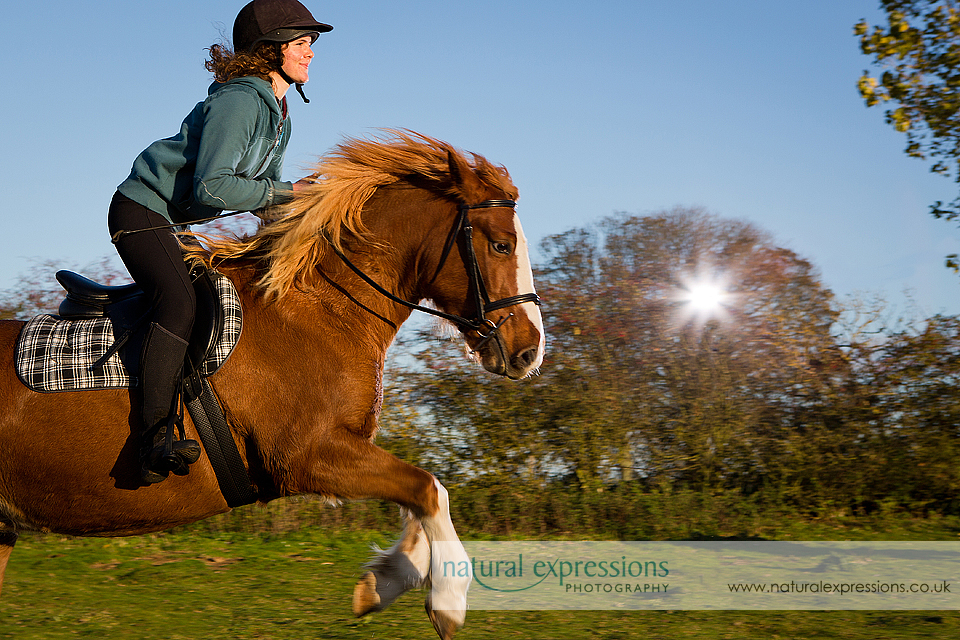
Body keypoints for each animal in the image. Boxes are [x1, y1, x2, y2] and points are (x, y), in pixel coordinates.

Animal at [0, 131, 544, 640]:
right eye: (501, 244)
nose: (530, 350)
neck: (318, 311)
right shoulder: (305, 456)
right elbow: (429, 490)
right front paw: (448, 598)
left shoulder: (341, 449)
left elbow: (418, 497)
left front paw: (382, 583)